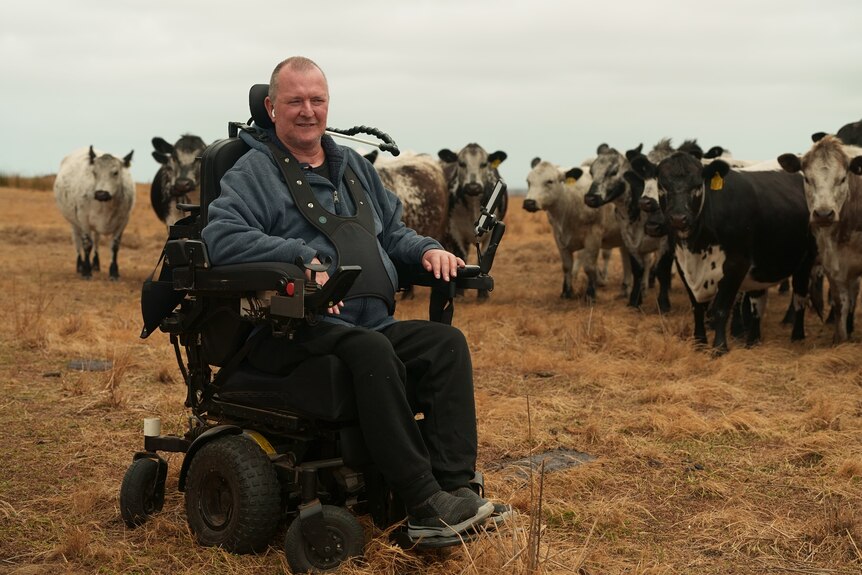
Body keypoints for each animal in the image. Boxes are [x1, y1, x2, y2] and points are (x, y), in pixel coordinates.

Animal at [438, 143, 506, 302]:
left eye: (484, 164)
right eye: (461, 163)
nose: (473, 187)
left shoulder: (490, 234)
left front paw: (483, 295)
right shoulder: (454, 231)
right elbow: (461, 255)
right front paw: (459, 293)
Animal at [524, 158, 624, 302]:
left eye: (549, 181)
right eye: (528, 181)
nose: (529, 203)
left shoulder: (593, 237)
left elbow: (589, 266)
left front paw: (590, 294)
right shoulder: (559, 237)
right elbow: (567, 266)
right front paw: (566, 292)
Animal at [660, 151, 820, 354]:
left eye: (697, 185)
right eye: (662, 186)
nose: (678, 218)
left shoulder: (735, 265)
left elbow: (720, 309)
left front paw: (719, 348)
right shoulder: (682, 265)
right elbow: (697, 307)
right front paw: (699, 344)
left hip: (805, 261)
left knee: (800, 297)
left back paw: (797, 336)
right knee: (758, 303)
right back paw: (753, 340)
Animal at [780, 134, 862, 342]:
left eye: (842, 178)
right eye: (807, 178)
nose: (824, 214)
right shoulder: (833, 265)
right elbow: (840, 303)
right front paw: (840, 339)